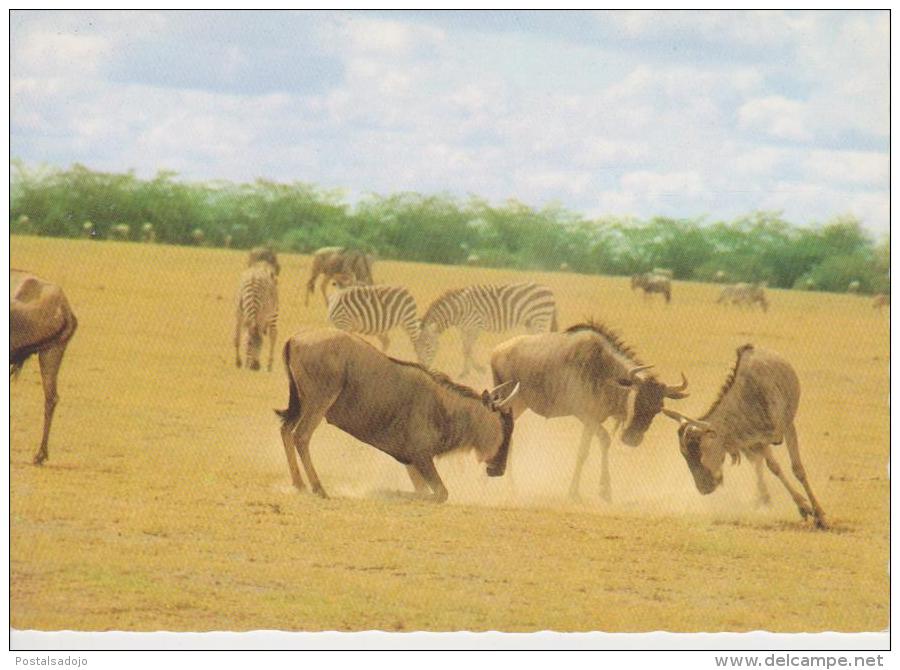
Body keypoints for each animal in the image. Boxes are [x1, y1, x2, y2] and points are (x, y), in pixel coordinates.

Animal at [420, 282, 560, 380]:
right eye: (417, 347)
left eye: (427, 346)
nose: (423, 370)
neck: (458, 310)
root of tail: (549, 289)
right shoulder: (464, 330)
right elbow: (465, 349)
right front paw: (465, 373)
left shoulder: (475, 327)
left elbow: (468, 348)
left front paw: (479, 370)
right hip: (530, 322)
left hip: (540, 318)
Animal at [492, 322, 688, 504]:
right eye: (635, 398)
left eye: (658, 408)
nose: (632, 439)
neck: (603, 370)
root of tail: (496, 352)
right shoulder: (585, 415)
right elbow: (594, 446)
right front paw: (591, 492)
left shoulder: (592, 420)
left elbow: (590, 448)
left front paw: (595, 491)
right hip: (510, 401)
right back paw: (509, 487)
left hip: (518, 405)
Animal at [664, 346, 828, 532]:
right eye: (684, 455)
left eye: (701, 449)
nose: (704, 488)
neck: (747, 398)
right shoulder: (754, 441)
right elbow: (773, 467)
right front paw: (802, 506)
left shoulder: (786, 428)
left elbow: (797, 469)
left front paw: (818, 514)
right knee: (757, 464)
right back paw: (763, 498)